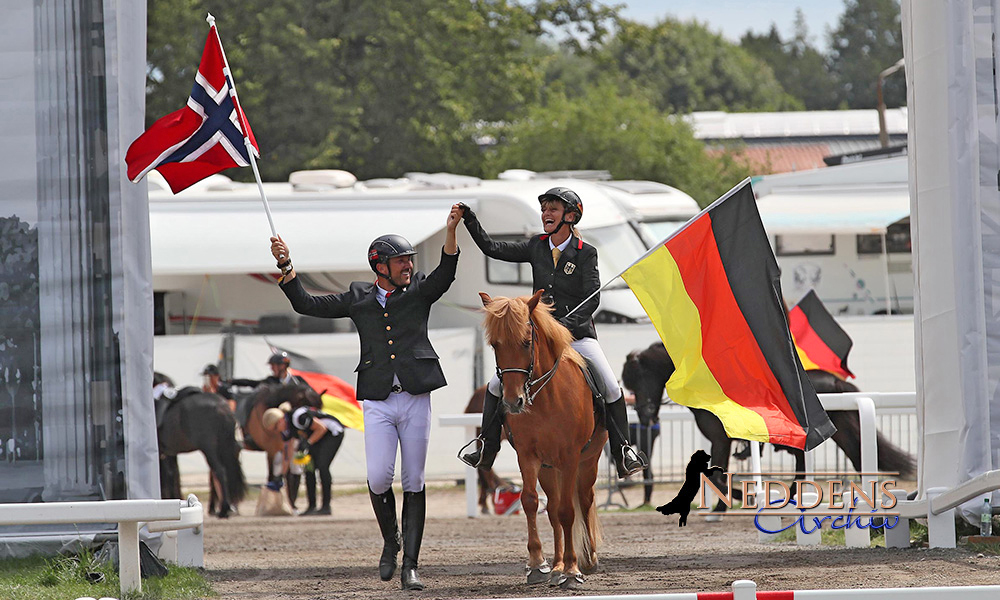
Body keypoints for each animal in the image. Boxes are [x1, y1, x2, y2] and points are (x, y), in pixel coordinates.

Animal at [158, 372, 250, 516]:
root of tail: (221, 405)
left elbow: (166, 476)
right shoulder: (168, 453)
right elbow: (171, 475)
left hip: (208, 449)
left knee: (220, 471)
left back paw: (224, 509)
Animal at [480, 292, 604, 592]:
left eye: (527, 342)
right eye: (495, 344)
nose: (513, 402)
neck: (545, 398)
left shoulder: (570, 458)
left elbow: (569, 511)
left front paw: (572, 571)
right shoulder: (528, 456)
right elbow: (530, 502)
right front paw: (539, 564)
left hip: (587, 462)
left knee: (583, 500)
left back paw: (588, 559)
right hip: (549, 469)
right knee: (553, 510)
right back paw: (557, 566)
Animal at [620, 342, 916, 510]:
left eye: (638, 379)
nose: (645, 417)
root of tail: (835, 381)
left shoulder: (720, 440)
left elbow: (716, 478)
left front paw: (741, 497)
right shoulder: (721, 443)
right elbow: (714, 477)